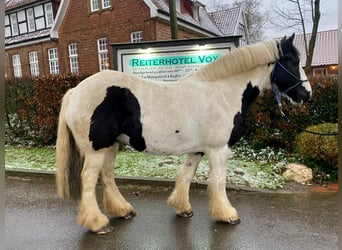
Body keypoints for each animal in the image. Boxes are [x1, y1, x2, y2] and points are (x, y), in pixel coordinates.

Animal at [56, 34, 312, 234]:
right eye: (292, 61)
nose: (307, 94)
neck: (222, 92)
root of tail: (76, 91)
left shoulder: (197, 150)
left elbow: (186, 176)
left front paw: (183, 208)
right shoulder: (219, 150)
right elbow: (218, 181)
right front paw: (228, 215)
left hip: (111, 146)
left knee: (107, 176)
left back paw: (123, 210)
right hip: (97, 149)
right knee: (89, 179)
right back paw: (97, 223)